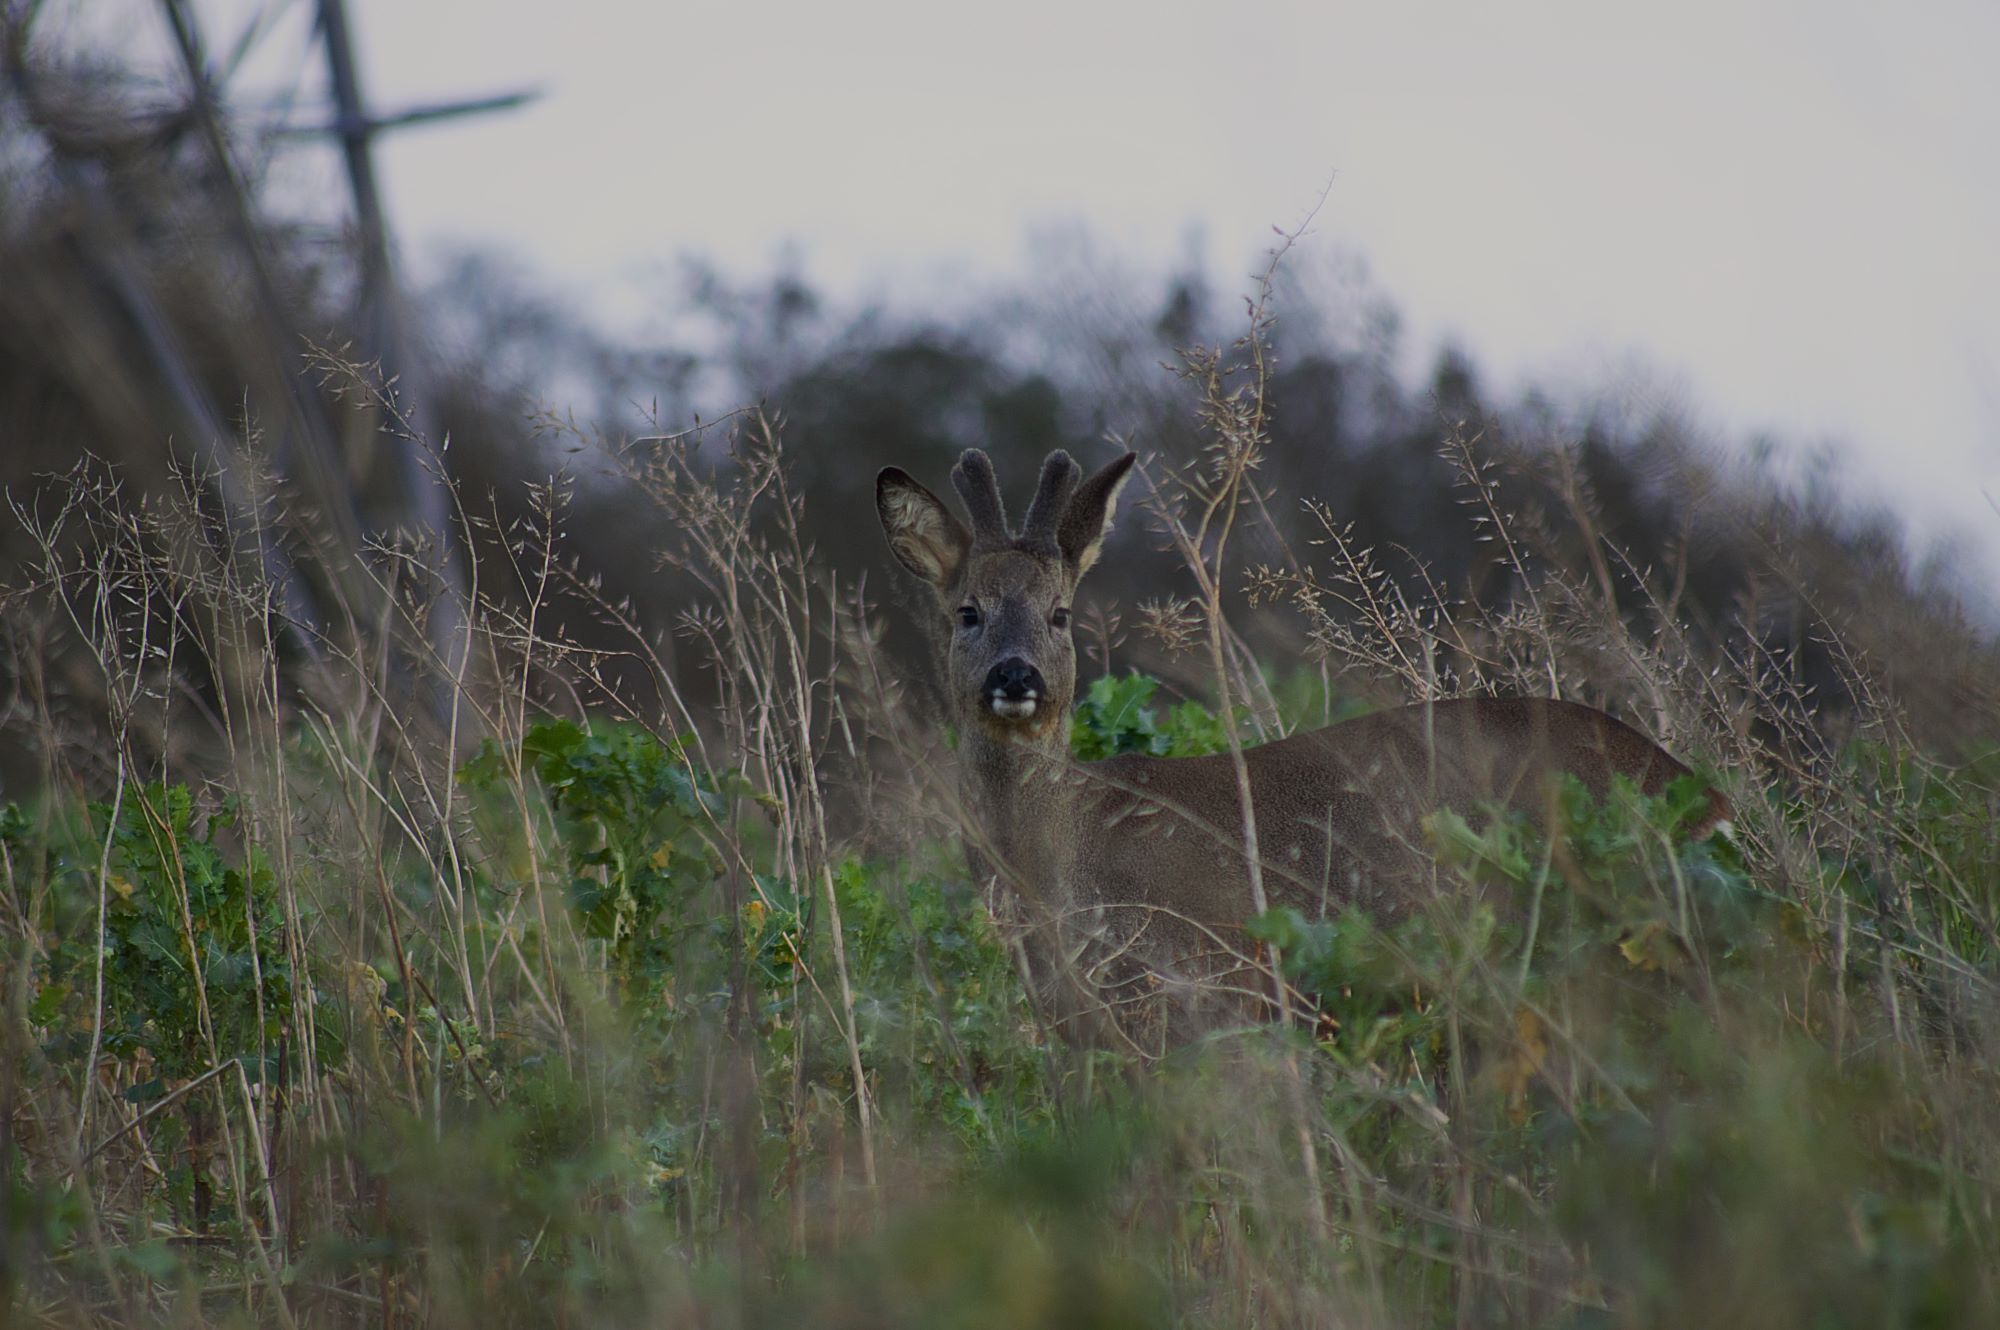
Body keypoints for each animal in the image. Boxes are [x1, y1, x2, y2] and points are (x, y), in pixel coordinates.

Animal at [876, 447, 1730, 1053]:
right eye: (967, 611)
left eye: (1059, 613)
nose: (1015, 676)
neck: (1054, 865)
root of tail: (1701, 795)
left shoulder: (1200, 984)